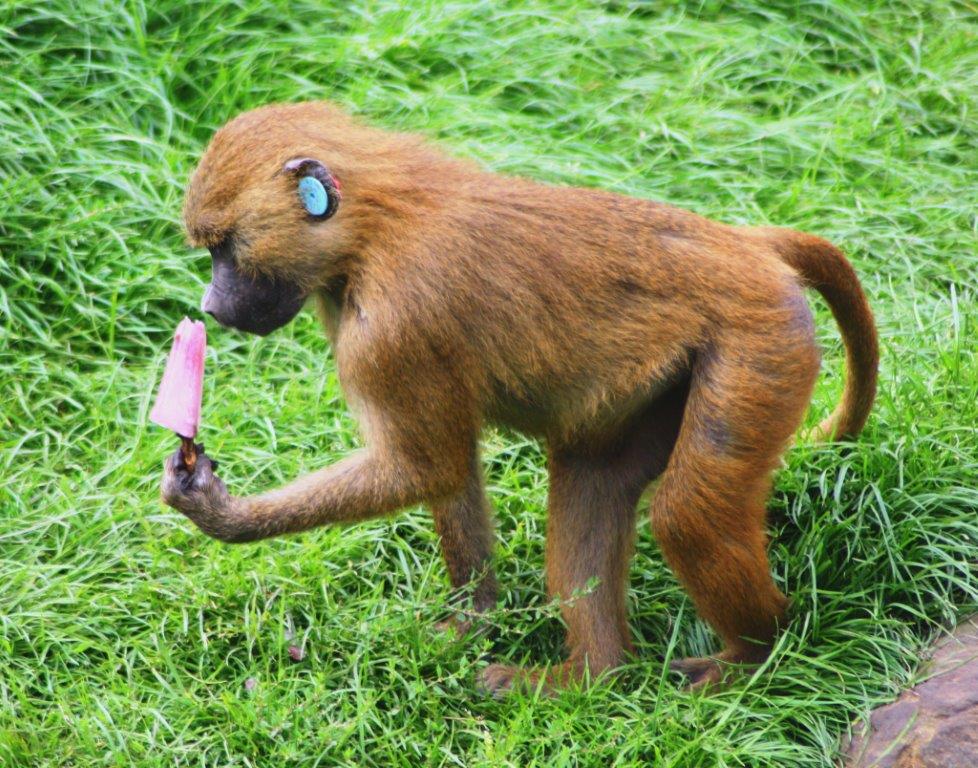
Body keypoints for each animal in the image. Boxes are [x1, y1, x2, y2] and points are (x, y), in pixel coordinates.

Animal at [161, 101, 878, 696]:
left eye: (225, 248)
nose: (211, 307)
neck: (374, 225)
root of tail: (747, 246)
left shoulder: (392, 331)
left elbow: (428, 466)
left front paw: (219, 510)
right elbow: (452, 476)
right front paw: (471, 621)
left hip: (758, 346)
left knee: (688, 514)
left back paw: (758, 656)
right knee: (593, 481)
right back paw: (588, 678)